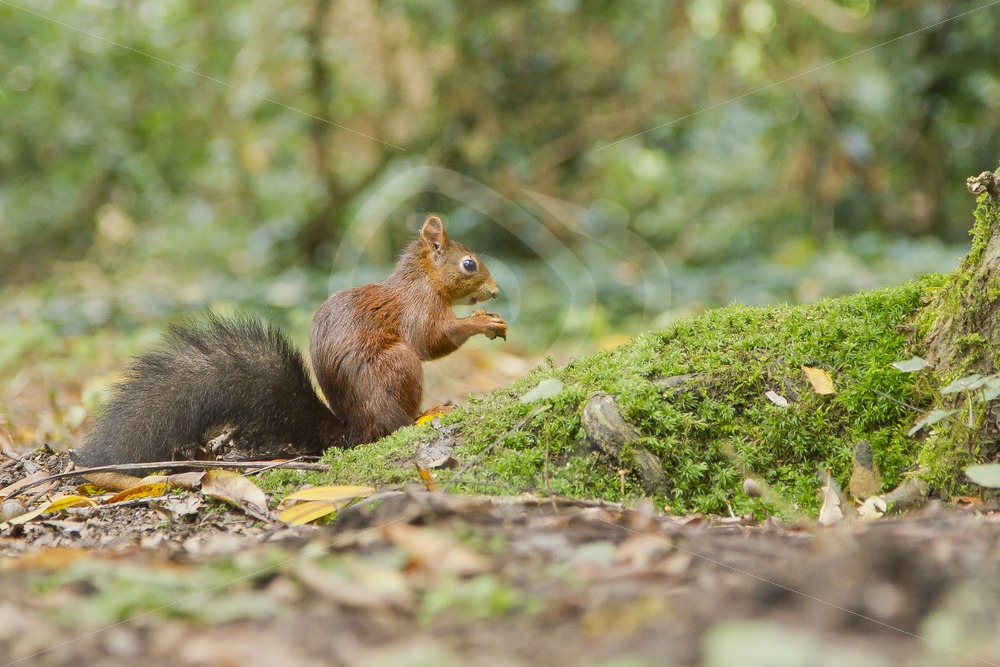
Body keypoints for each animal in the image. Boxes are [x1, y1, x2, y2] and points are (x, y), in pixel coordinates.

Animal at [72, 215, 507, 470]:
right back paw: (422, 414)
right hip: (398, 365)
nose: (496, 291)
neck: (422, 279)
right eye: (469, 264)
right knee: (392, 424)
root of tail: (354, 430)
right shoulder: (419, 308)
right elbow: (433, 340)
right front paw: (482, 322)